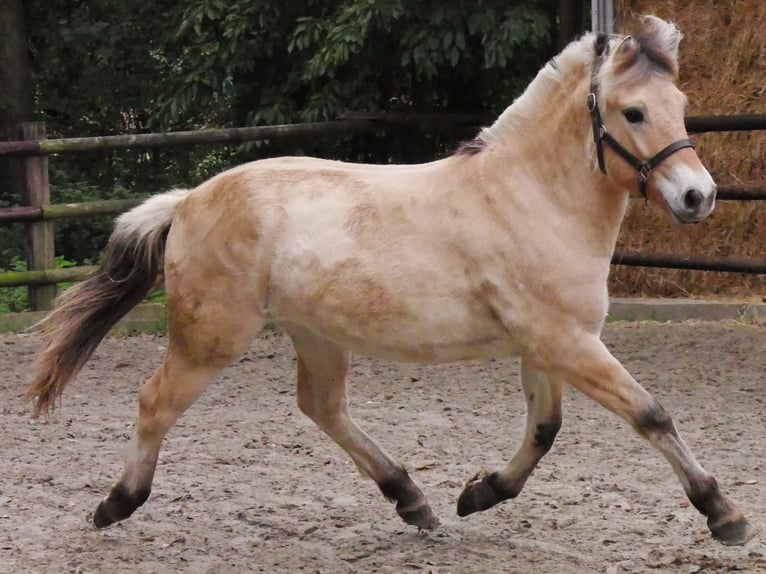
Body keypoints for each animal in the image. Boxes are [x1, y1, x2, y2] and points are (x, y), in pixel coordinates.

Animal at [27, 15, 752, 546]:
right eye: (632, 112)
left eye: (680, 103)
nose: (699, 197)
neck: (530, 196)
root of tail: (187, 201)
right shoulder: (567, 342)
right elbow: (649, 414)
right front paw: (724, 514)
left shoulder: (548, 345)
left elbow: (544, 430)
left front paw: (478, 494)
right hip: (212, 338)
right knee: (156, 402)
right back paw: (115, 505)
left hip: (314, 334)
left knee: (322, 407)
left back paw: (414, 501)